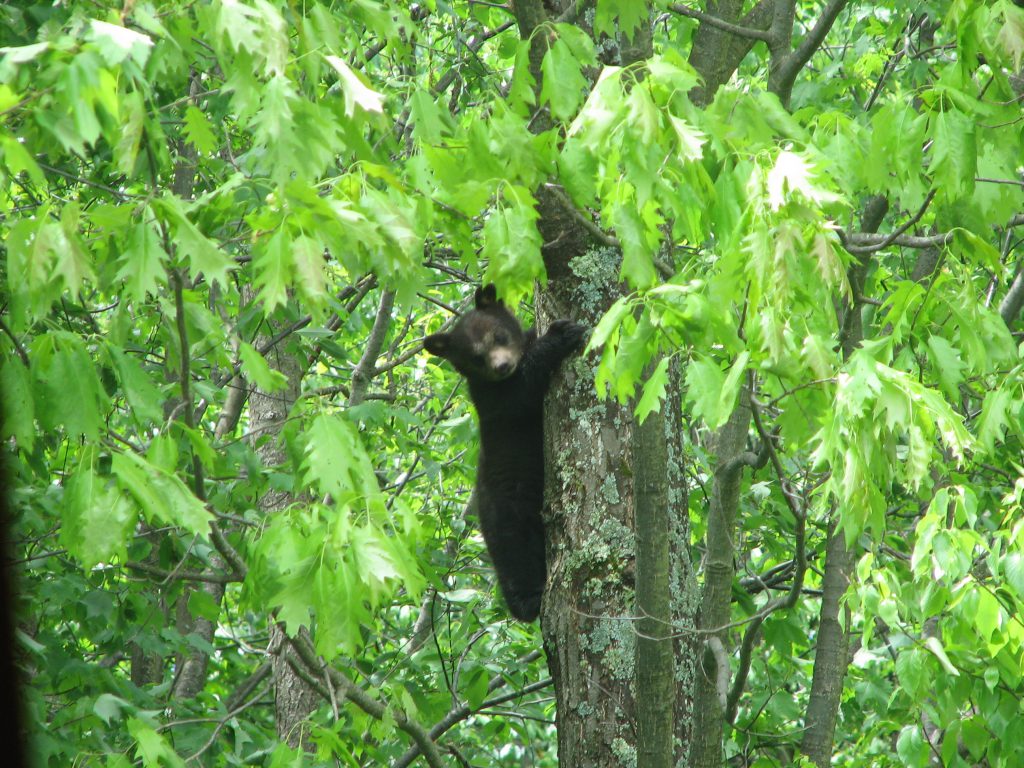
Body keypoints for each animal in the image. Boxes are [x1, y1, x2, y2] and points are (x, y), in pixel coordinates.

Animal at [421, 286, 585, 622]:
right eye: (476, 357)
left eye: (499, 336)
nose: (501, 366)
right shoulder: (493, 400)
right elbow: (520, 394)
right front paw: (560, 335)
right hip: (505, 511)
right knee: (515, 556)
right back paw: (528, 601)